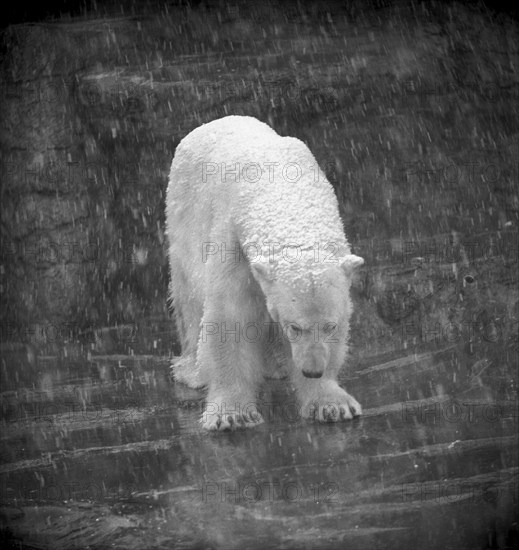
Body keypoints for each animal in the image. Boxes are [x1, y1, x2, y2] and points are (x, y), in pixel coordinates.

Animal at [166, 116, 362, 434]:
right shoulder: (232, 244)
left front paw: (332, 404)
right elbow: (230, 318)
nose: (313, 370)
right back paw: (192, 371)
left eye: (330, 326)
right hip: (183, 217)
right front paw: (232, 414)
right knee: (190, 299)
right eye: (295, 327)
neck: (283, 194)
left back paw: (277, 366)